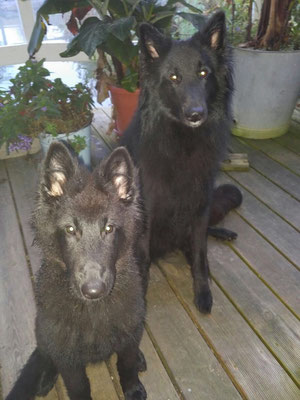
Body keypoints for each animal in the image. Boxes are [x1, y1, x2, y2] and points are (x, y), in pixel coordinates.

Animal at [5, 144, 148, 400]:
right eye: (70, 229)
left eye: (109, 228)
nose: (93, 290)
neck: (92, 309)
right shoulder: (67, 356)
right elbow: (78, 385)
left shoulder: (130, 326)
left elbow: (126, 363)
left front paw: (132, 388)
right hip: (43, 329)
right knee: (45, 351)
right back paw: (45, 377)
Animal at [122, 10, 241, 314]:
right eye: (174, 77)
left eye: (204, 73)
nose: (196, 114)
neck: (184, 143)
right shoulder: (147, 213)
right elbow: (142, 261)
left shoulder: (199, 206)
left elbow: (200, 256)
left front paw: (203, 293)